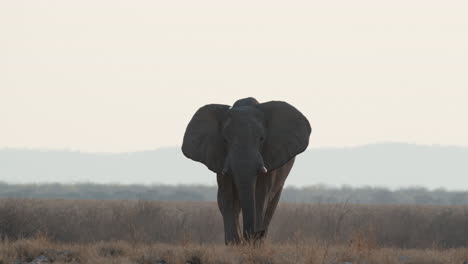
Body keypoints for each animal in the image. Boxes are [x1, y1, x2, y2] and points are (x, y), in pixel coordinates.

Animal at [182, 97, 310, 245]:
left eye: (261, 139)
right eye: (225, 140)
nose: (256, 233)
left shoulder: (269, 156)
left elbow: (260, 196)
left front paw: (252, 244)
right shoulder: (220, 157)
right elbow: (228, 197)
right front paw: (234, 245)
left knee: (271, 204)